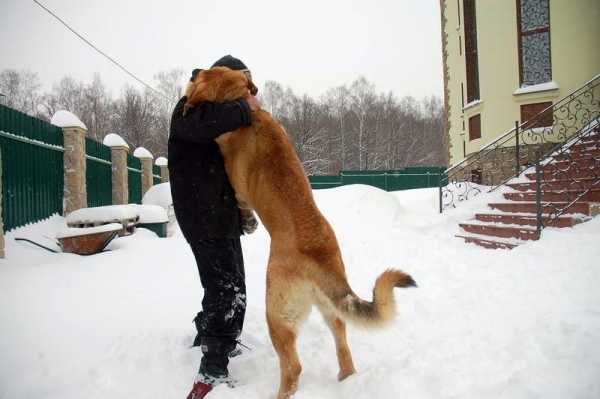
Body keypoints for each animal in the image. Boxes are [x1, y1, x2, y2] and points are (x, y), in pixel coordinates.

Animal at [185, 67, 414, 398]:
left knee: (293, 368)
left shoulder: (238, 188)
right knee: (342, 344)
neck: (243, 107)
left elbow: (242, 204)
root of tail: (320, 260)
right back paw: (345, 377)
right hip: (330, 309)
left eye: (203, 73)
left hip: (277, 316)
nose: (193, 71)